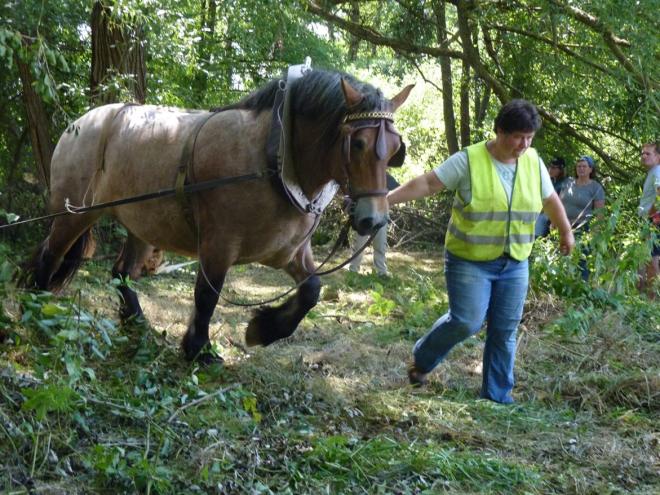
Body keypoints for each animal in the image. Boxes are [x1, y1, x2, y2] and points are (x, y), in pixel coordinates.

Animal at [24, 70, 412, 362]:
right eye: (358, 144)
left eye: (395, 149)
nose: (373, 221)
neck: (276, 158)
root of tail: (80, 122)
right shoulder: (218, 244)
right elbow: (206, 296)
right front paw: (199, 349)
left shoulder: (289, 251)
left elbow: (312, 290)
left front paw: (263, 330)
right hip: (75, 214)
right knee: (51, 254)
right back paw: (36, 306)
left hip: (142, 226)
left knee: (121, 273)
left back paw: (136, 323)